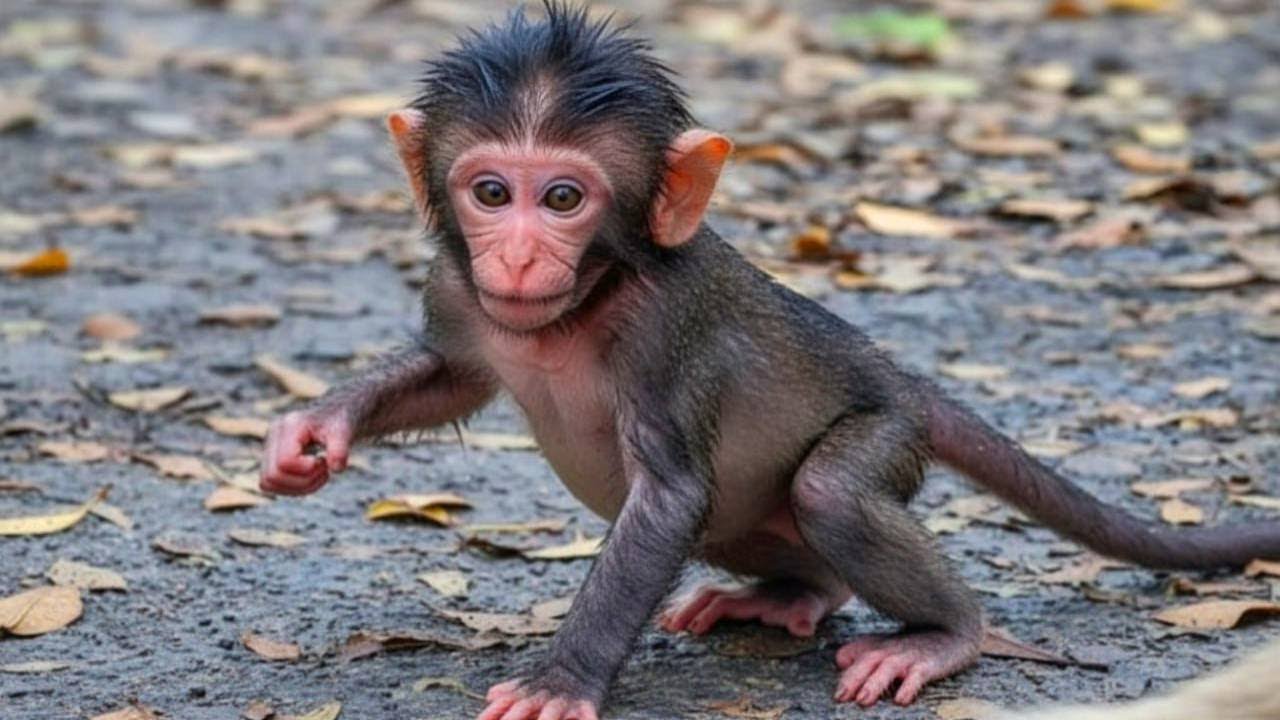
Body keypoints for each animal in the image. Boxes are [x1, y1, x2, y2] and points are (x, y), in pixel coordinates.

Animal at [258, 5, 1280, 720]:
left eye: (562, 199)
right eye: (491, 193)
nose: (513, 258)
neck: (580, 304)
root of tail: (898, 376)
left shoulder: (665, 327)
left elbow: (667, 496)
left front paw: (564, 678)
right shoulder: (456, 289)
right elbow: (453, 374)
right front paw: (312, 432)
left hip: (887, 430)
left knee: (828, 492)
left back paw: (943, 636)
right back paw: (794, 595)